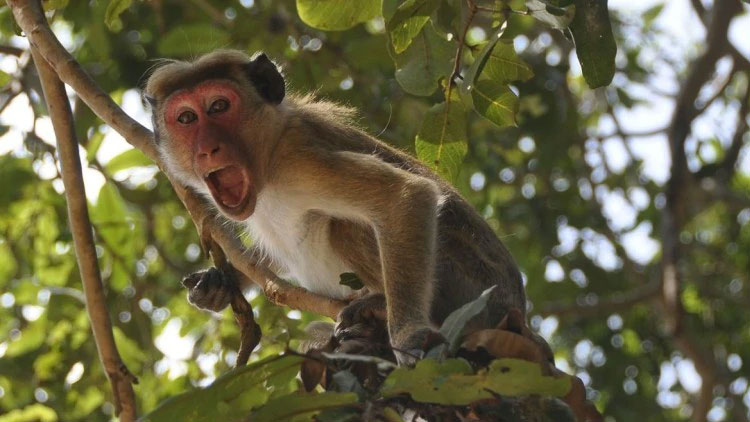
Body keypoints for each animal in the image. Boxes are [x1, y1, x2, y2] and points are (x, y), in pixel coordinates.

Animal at [144, 50, 525, 365]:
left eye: (219, 107)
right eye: (187, 118)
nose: (207, 149)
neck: (266, 162)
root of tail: (516, 312)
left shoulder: (300, 161)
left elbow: (405, 195)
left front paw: (408, 336)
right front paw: (220, 281)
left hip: (474, 295)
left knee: (347, 225)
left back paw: (381, 308)